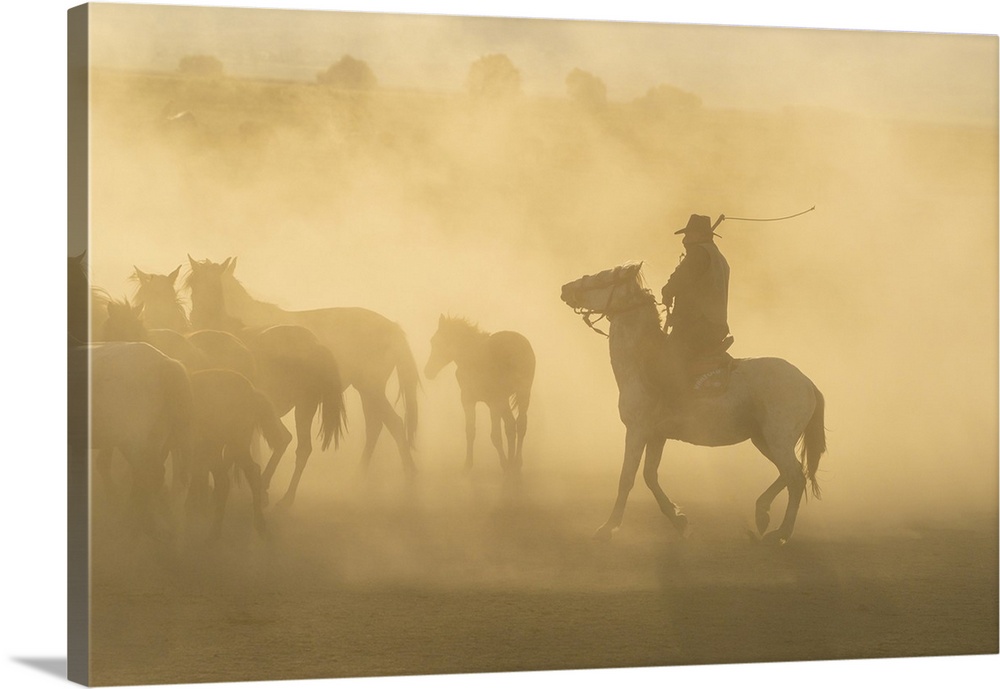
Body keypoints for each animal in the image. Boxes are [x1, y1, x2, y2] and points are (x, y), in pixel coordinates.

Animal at [186, 255, 420, 478]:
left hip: (370, 388)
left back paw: (406, 476)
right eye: (192, 286)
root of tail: (392, 327)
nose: (194, 321)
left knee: (393, 425)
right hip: (367, 389)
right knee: (377, 426)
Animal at [186, 369, 291, 540]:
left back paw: (214, 532)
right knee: (251, 471)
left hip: (226, 445)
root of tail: (252, 392)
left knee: (226, 479)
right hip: (232, 445)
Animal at [424, 315, 535, 476]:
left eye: (438, 342)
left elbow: (495, 436)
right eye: (433, 341)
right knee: (510, 425)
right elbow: (470, 432)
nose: (428, 372)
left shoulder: (493, 402)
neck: (473, 361)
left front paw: (504, 465)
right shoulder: (468, 400)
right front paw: (467, 465)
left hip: (522, 393)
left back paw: (516, 464)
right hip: (504, 400)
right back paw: (512, 463)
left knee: (520, 425)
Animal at [560, 263, 826, 544]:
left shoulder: (636, 430)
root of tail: (807, 383)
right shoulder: (656, 435)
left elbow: (627, 478)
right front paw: (679, 520)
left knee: (795, 478)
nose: (565, 289)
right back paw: (762, 513)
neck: (642, 361)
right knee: (791, 474)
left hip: (777, 439)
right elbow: (649, 476)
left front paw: (608, 526)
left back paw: (780, 531)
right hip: (763, 439)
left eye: (600, 278)